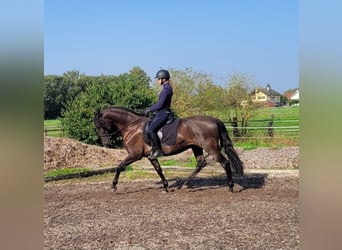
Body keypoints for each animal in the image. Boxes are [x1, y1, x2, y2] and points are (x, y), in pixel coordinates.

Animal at [93, 106, 243, 192]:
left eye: (99, 125)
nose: (105, 142)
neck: (131, 126)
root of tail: (214, 119)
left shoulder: (135, 155)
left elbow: (119, 167)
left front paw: (113, 186)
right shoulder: (150, 156)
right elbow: (158, 170)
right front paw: (165, 187)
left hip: (211, 148)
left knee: (225, 163)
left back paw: (230, 187)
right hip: (196, 147)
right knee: (201, 163)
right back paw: (185, 184)